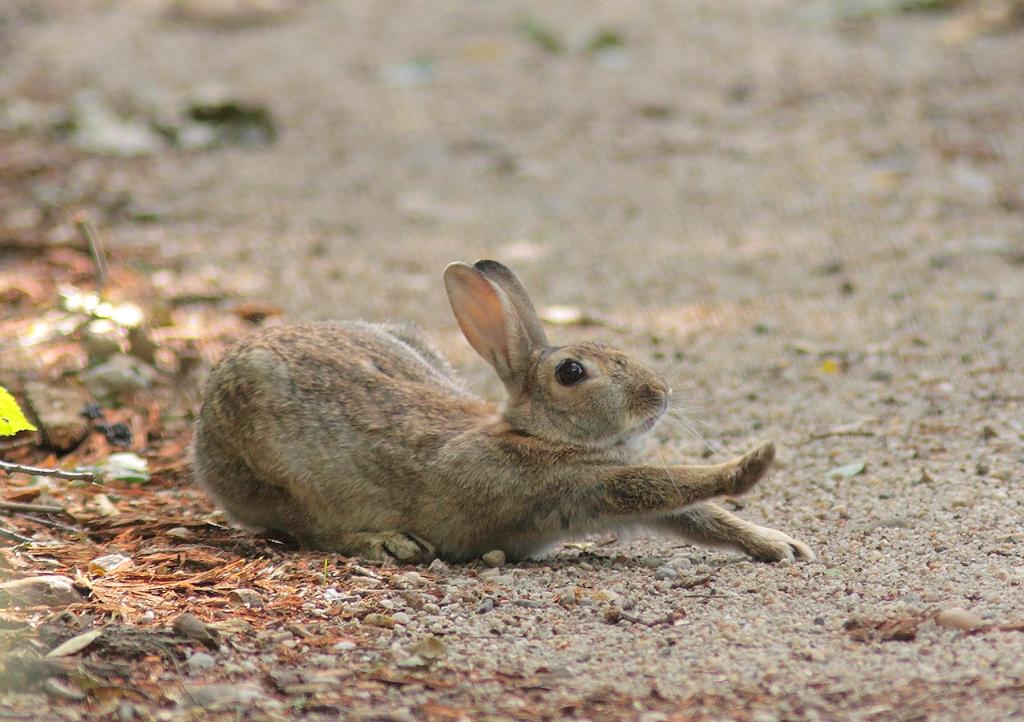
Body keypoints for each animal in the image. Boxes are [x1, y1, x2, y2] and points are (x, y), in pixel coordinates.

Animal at [193, 259, 815, 565]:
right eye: (571, 372)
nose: (659, 395)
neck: (536, 434)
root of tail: (202, 446)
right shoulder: (554, 486)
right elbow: (658, 485)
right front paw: (754, 463)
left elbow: (693, 513)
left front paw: (778, 544)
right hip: (280, 470)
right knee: (308, 529)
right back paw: (388, 545)